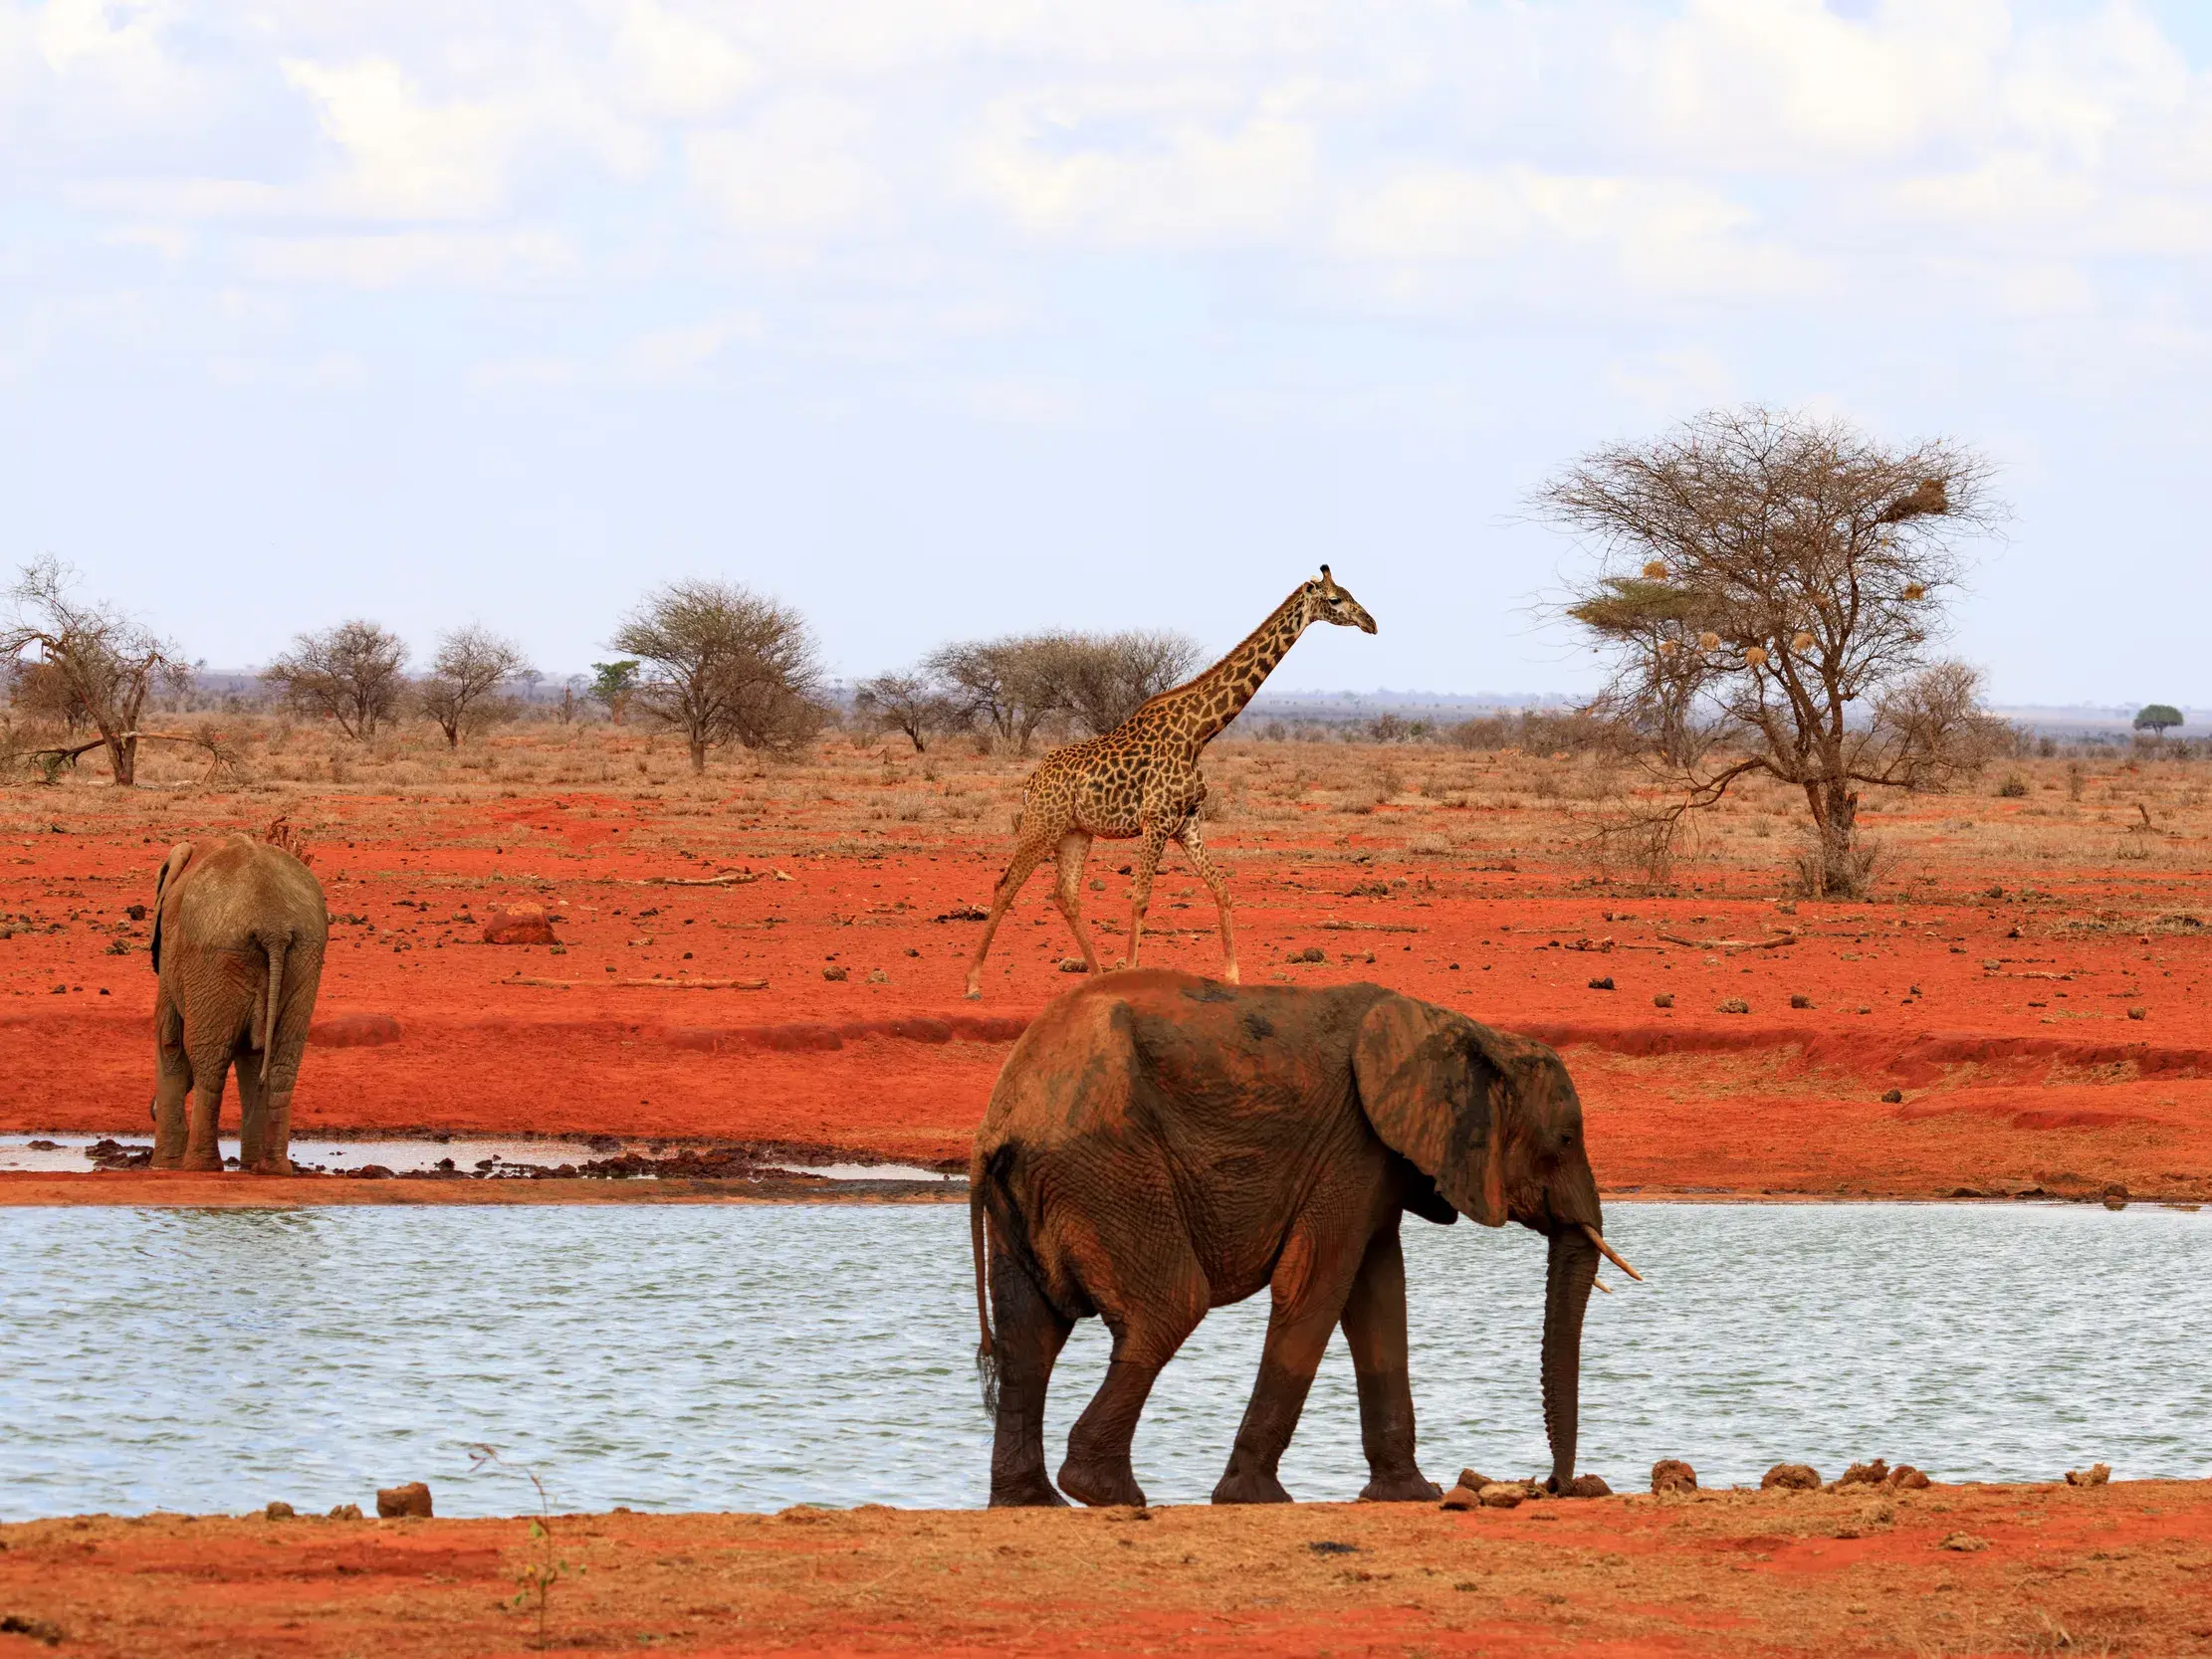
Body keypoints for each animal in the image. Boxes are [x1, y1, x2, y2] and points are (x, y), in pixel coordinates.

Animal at [964, 567, 1378, 999]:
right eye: (1335, 599)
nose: (1371, 623)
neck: (1199, 733)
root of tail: (1031, 780)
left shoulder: (1188, 824)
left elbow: (1222, 890)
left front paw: (1233, 976)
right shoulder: (1155, 821)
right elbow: (1140, 899)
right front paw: (1133, 974)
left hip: (1075, 832)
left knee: (1066, 895)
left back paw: (1095, 976)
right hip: (1042, 824)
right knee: (1006, 885)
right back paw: (974, 982)